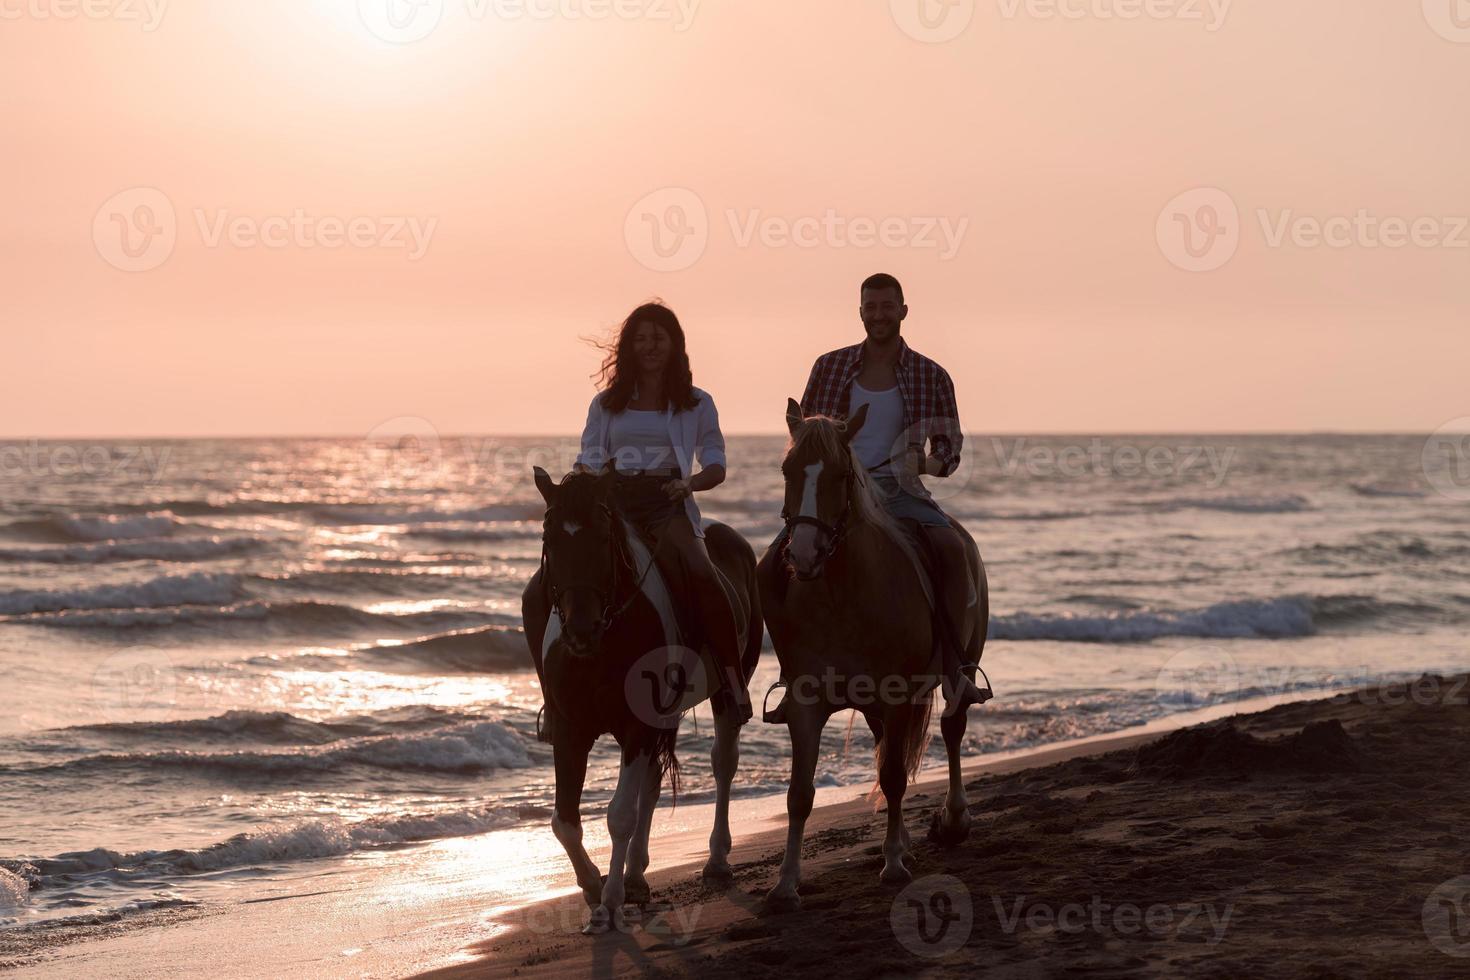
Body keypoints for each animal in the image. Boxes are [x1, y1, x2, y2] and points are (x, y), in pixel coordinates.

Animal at [523, 467, 764, 934]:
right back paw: (636, 876)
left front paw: (609, 904)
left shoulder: (636, 726)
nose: (581, 629)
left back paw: (716, 860)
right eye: (548, 535)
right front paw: (593, 886)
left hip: (729, 687)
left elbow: (619, 815)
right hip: (663, 715)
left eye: (603, 537)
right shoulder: (571, 730)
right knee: (652, 784)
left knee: (723, 762)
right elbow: (565, 820)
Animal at [758, 399, 987, 910]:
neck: (840, 597)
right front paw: (785, 884)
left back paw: (954, 821)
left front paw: (894, 866)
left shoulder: (899, 694)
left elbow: (896, 777)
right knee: (889, 748)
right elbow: (799, 794)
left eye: (842, 474)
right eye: (786, 470)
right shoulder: (806, 705)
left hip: (956, 670)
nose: (803, 554)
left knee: (952, 729)